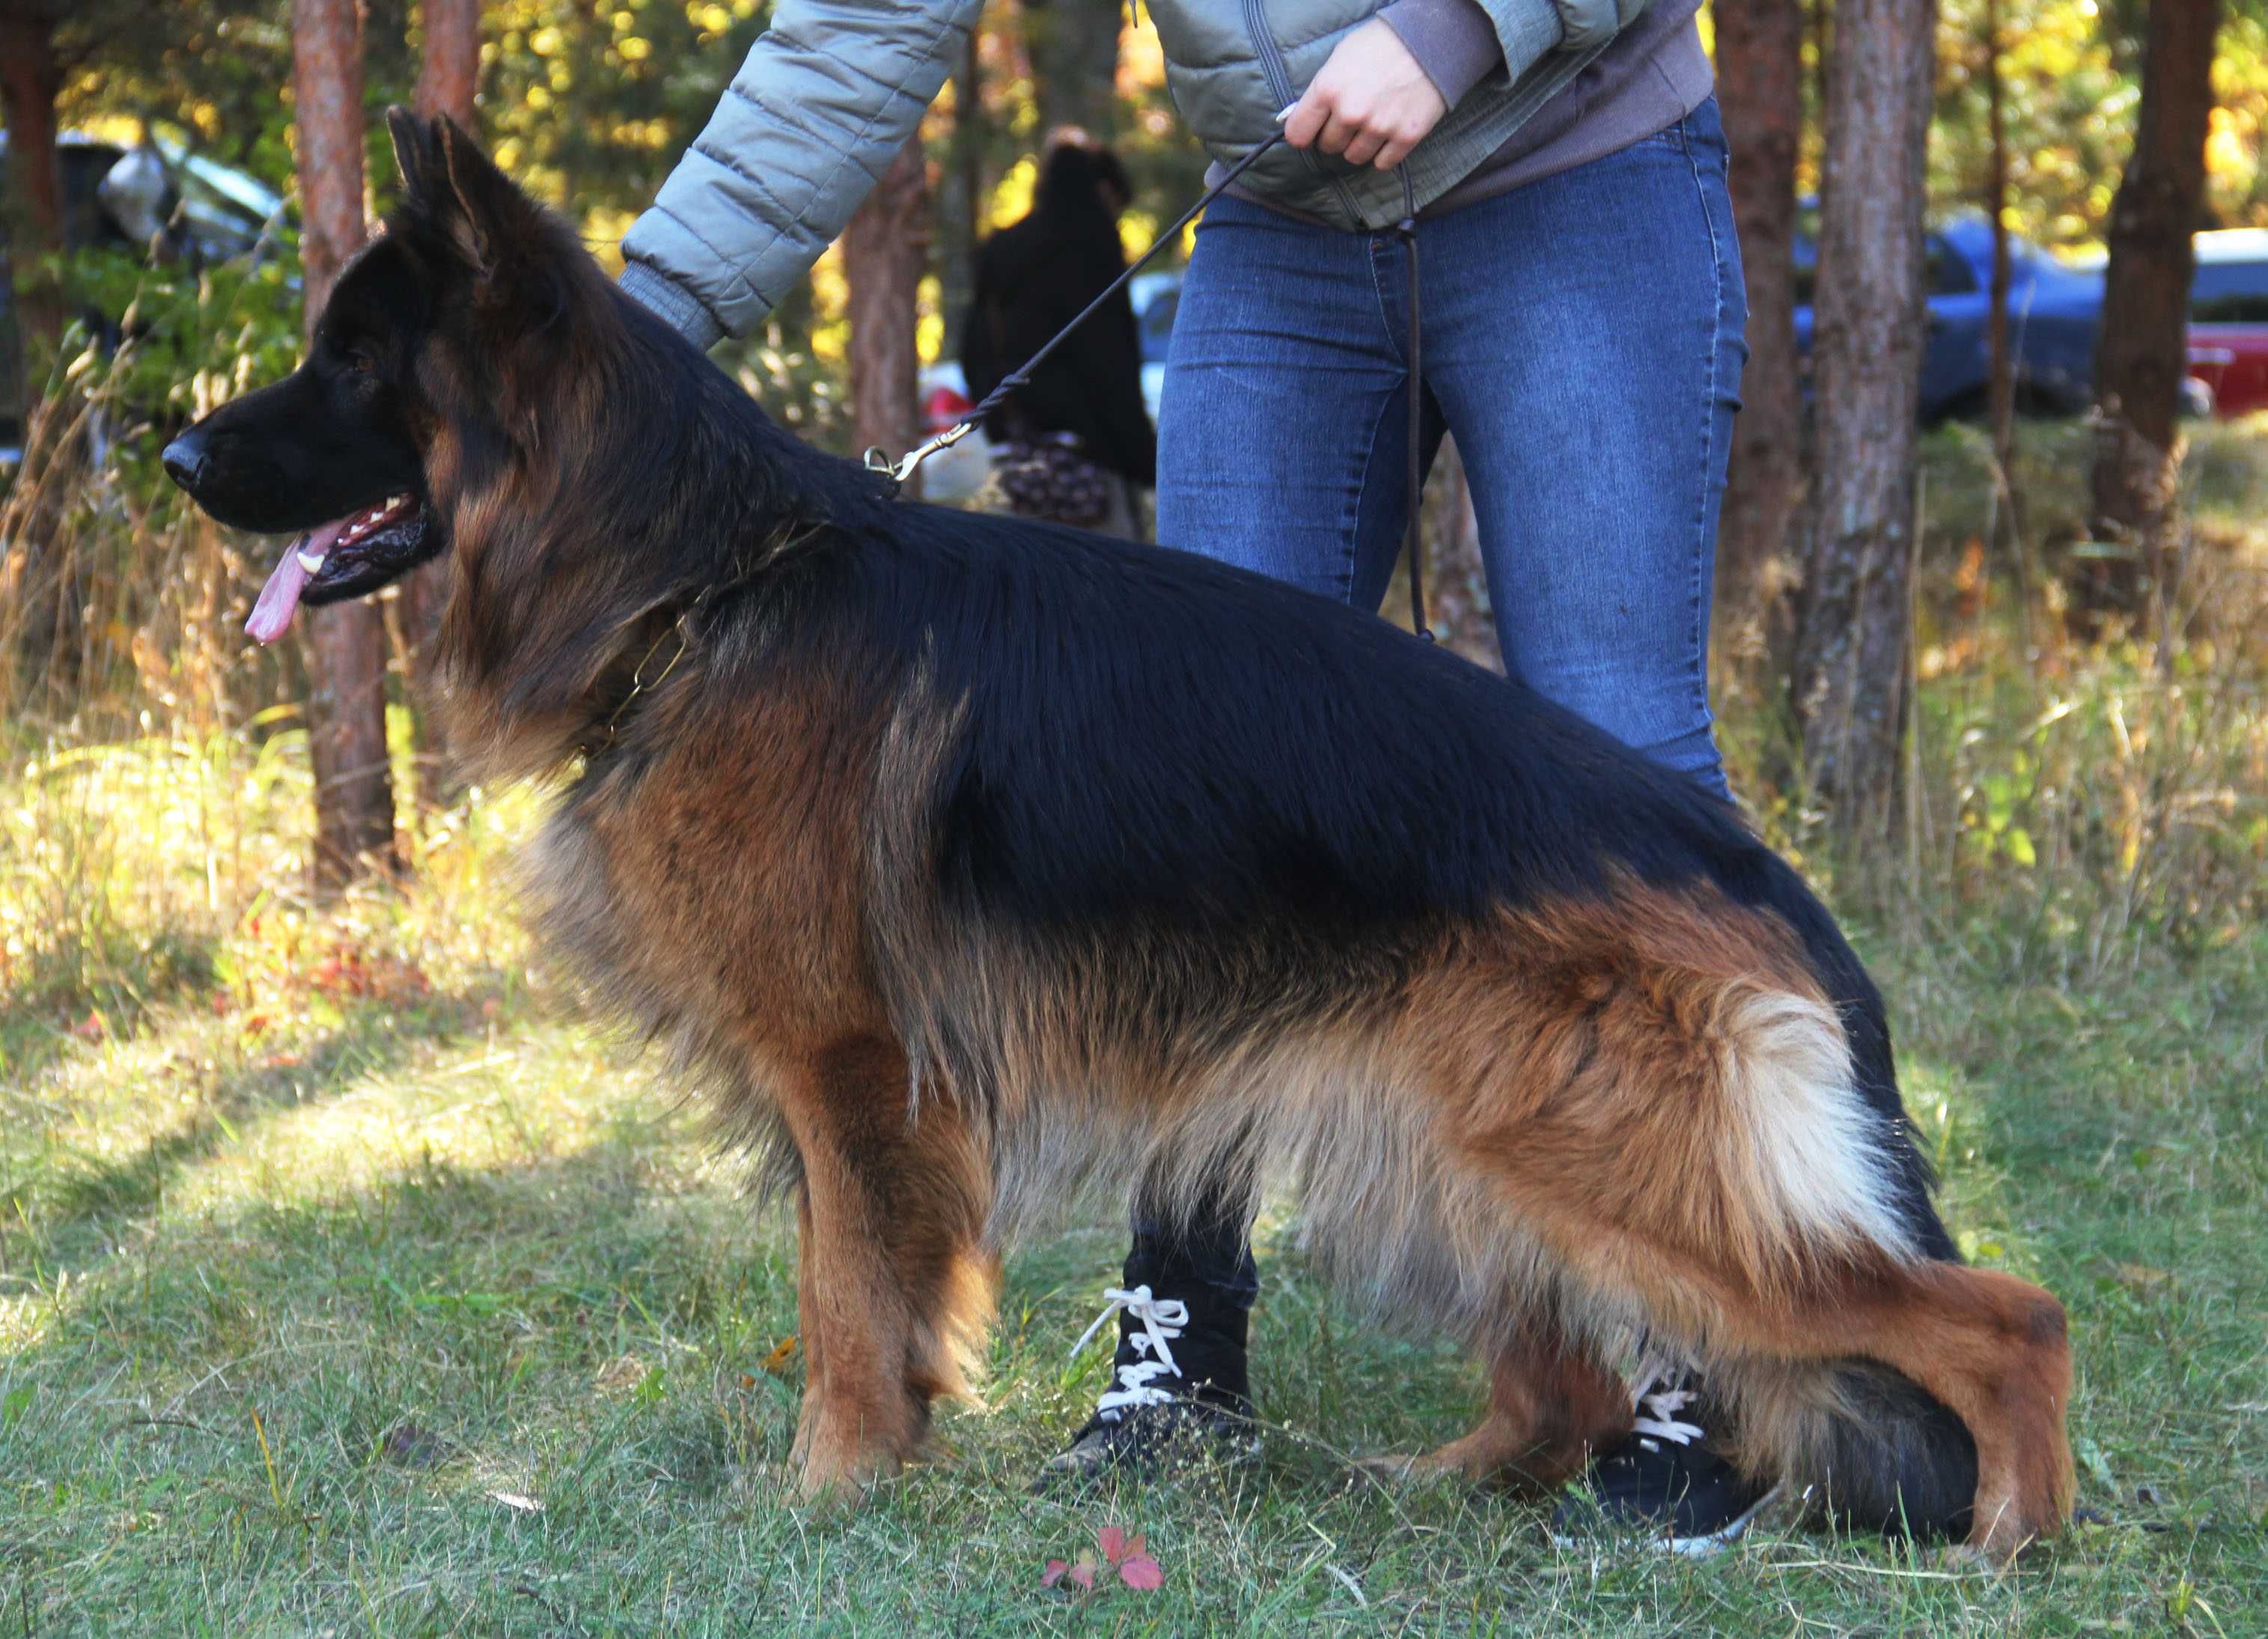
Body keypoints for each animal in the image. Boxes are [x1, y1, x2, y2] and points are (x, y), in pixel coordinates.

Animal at [164, 115, 2077, 1569]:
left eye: (351, 361)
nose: (177, 450)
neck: (700, 578)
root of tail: (1750, 869)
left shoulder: (851, 1070)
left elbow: (846, 1301)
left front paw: (826, 1495)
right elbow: (866, 1294)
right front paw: (880, 1472)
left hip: (1605, 1165)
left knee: (2000, 1314)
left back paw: (2007, 1543)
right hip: (1453, 1144)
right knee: (1570, 1379)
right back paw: (1445, 1484)